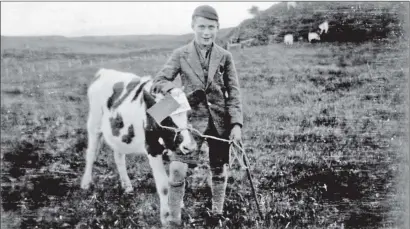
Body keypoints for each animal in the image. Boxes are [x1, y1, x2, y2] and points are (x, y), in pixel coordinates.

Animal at [80, 68, 197, 225]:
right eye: (166, 119)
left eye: (189, 115)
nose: (190, 147)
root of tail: (104, 71)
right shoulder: (152, 149)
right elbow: (163, 185)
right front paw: (165, 217)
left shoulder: (176, 149)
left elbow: (177, 178)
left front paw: (179, 204)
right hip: (94, 123)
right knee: (91, 154)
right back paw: (86, 183)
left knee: (118, 157)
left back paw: (127, 186)